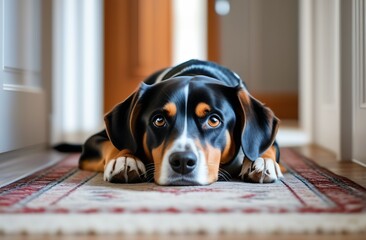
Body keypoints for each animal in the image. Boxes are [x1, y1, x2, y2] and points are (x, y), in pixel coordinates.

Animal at [79, 59, 284, 186]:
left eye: (214, 120)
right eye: (159, 120)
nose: (183, 161)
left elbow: (265, 147)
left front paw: (262, 163)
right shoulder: (92, 142)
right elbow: (115, 144)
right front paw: (125, 160)